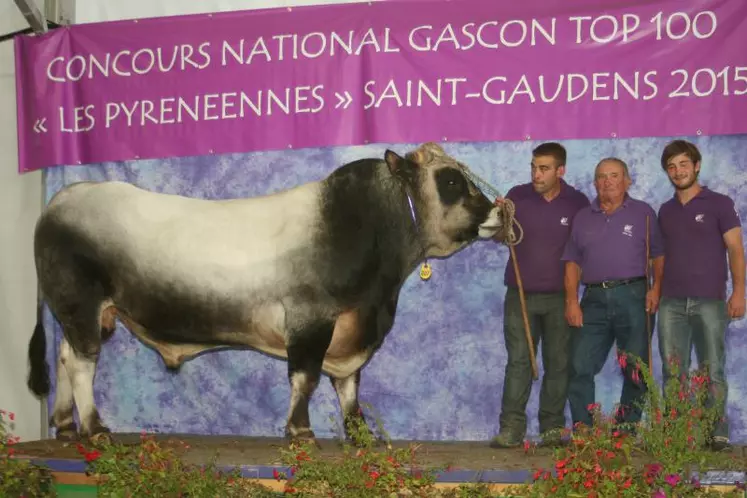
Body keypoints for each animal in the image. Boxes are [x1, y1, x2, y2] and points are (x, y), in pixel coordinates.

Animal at [27, 143, 508, 444]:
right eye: (450, 181)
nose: (497, 211)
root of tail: (61, 199)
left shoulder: (352, 328)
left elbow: (349, 386)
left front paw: (360, 436)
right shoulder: (311, 319)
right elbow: (306, 377)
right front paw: (301, 432)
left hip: (88, 314)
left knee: (66, 356)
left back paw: (65, 426)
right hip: (82, 304)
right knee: (83, 363)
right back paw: (94, 428)